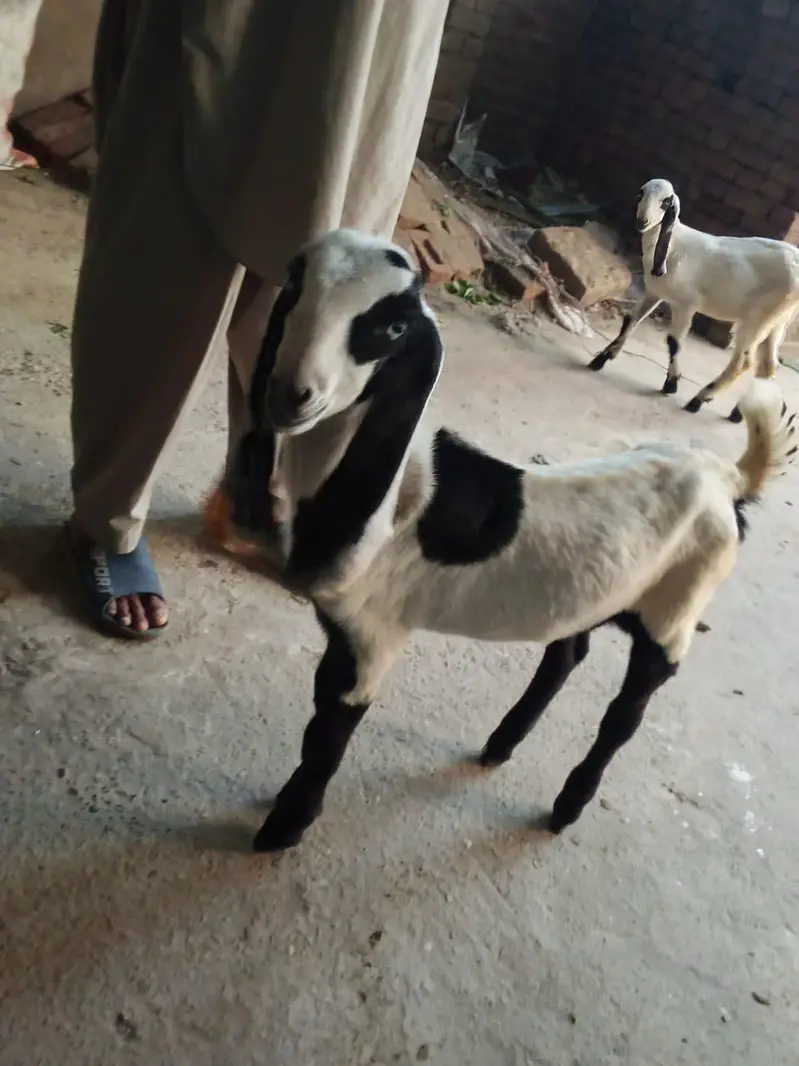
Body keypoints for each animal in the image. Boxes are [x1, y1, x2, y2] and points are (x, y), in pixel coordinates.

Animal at [217, 228, 796, 853]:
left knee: (628, 711)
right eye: (293, 285)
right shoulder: (346, 630)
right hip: (600, 591)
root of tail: (728, 479)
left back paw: (567, 807)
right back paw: (500, 746)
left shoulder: (374, 636)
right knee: (567, 652)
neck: (397, 494)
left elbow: (328, 733)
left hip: (680, 601)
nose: (289, 396)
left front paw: (283, 829)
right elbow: (320, 721)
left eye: (393, 329)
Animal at [589, 178, 799, 421]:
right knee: (769, 365)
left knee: (743, 363)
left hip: (757, 318)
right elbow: (630, 321)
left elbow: (674, 341)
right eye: (641, 194)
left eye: (665, 202)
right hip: (778, 320)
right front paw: (601, 359)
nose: (642, 222)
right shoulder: (655, 294)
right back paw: (739, 413)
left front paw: (671, 385)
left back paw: (698, 400)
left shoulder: (686, 304)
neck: (673, 245)